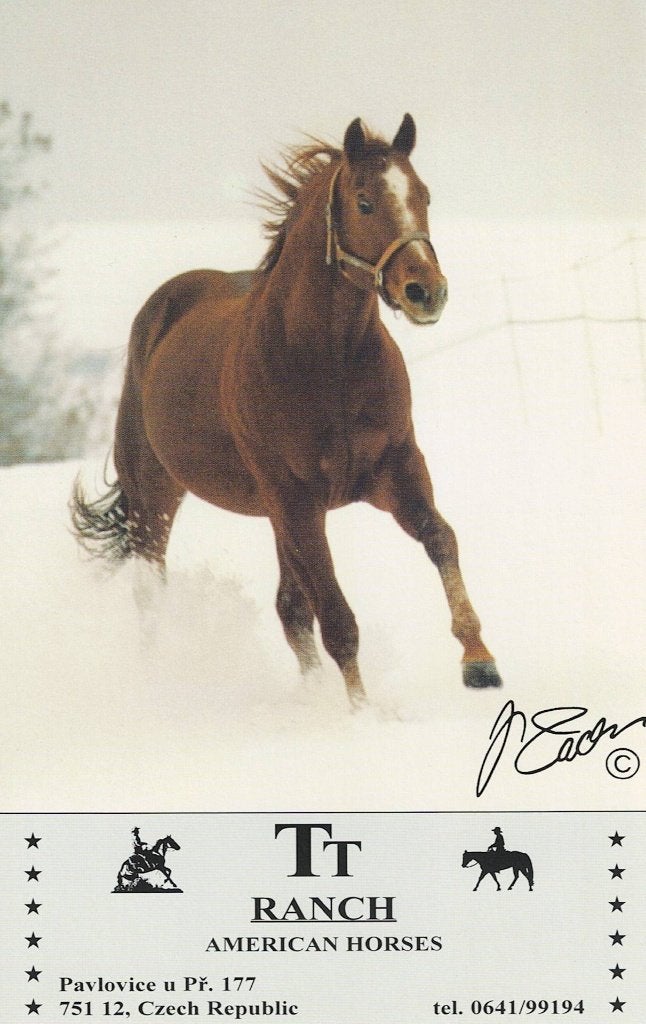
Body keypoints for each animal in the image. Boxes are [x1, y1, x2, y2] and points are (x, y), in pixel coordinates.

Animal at [71, 113, 502, 707]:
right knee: (152, 587)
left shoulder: (392, 470)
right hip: (157, 492)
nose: (426, 292)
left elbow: (441, 539)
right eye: (365, 201)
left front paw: (479, 661)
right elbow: (338, 619)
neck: (326, 362)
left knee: (289, 609)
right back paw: (159, 677)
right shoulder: (297, 500)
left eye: (424, 196)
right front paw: (364, 713)